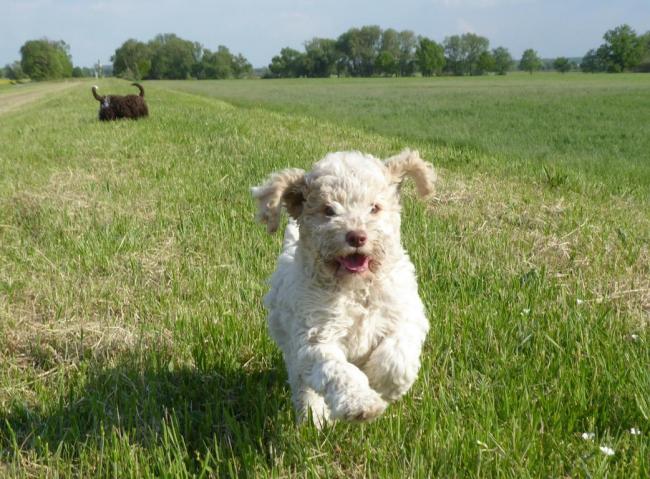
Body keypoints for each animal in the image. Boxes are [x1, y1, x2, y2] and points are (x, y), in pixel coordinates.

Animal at [253, 149, 436, 428]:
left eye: (374, 207)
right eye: (328, 210)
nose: (357, 236)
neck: (357, 289)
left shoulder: (404, 315)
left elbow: (397, 357)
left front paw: (384, 384)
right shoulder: (315, 337)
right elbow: (339, 371)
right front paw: (361, 404)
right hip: (291, 347)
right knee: (303, 384)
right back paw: (313, 417)